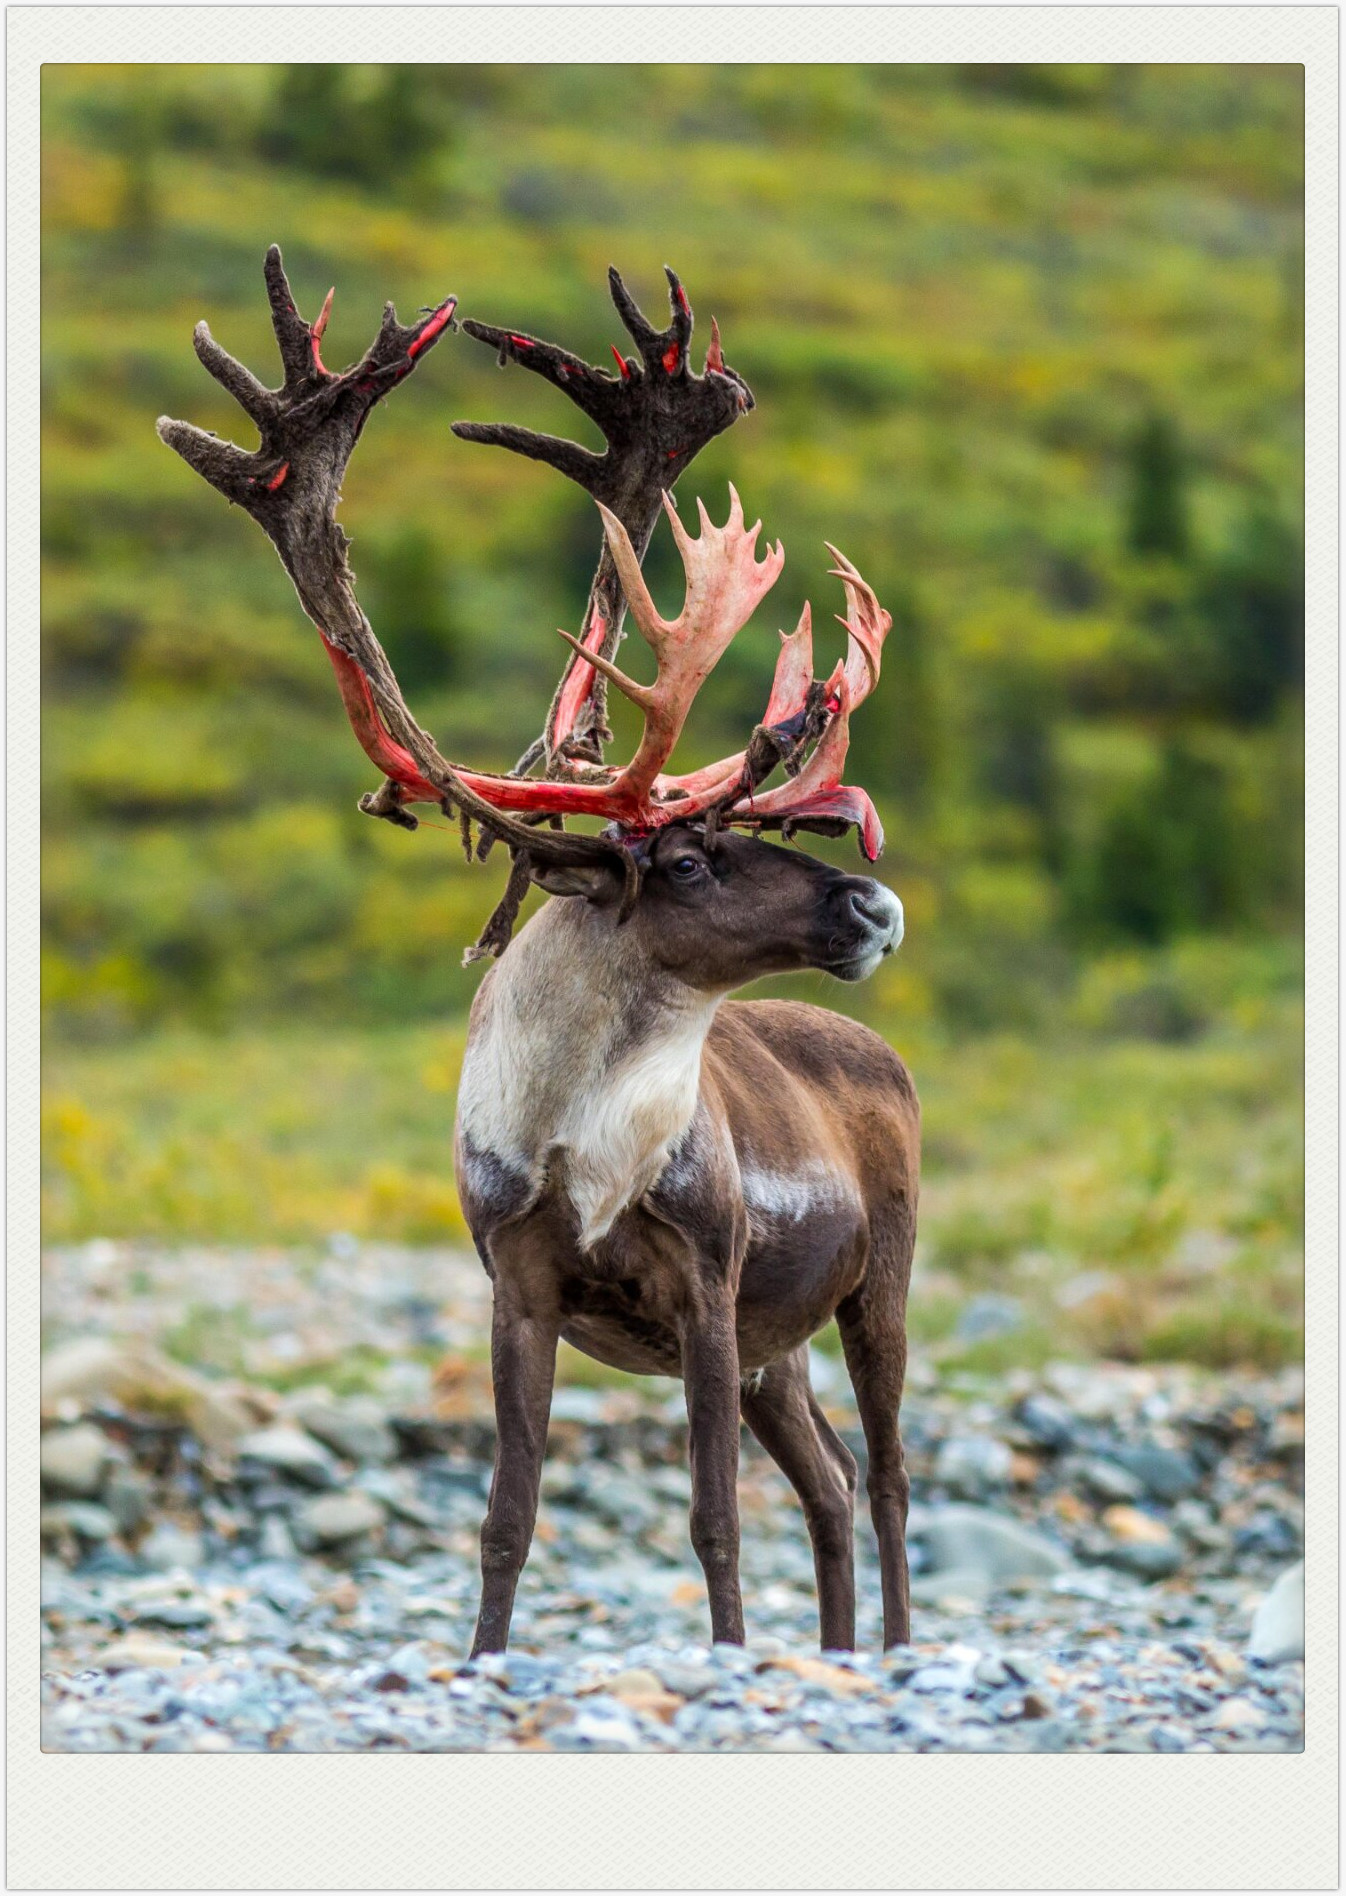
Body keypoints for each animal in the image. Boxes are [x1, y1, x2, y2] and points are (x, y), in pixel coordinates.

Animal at [159, 248, 920, 1657]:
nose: (874, 908)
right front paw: (483, 1660)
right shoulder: (517, 1286)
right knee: (836, 1480)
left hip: (872, 1280)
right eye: (687, 859)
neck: (578, 1134)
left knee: (891, 1474)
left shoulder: (706, 1288)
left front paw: (727, 1657)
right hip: (781, 1344)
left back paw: (890, 1656)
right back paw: (841, 1654)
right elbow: (504, 1518)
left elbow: (711, 1519)